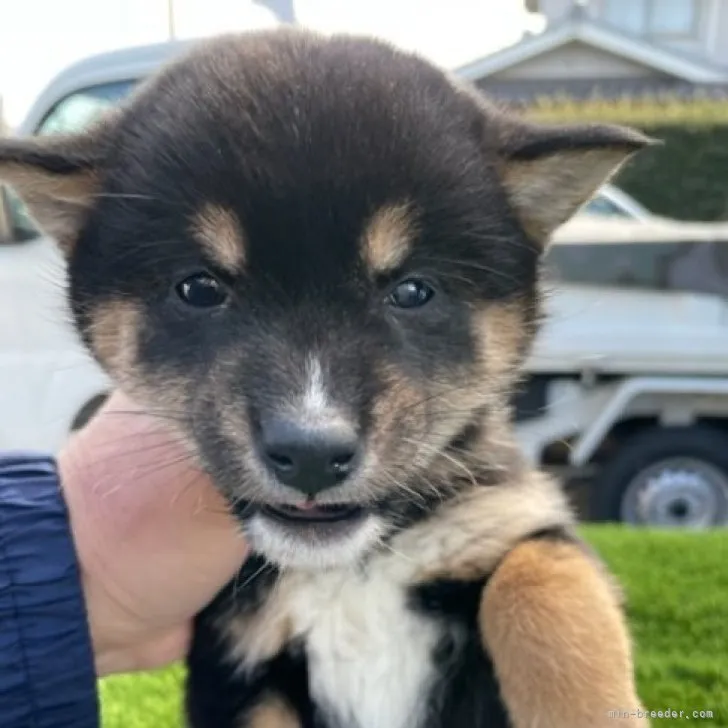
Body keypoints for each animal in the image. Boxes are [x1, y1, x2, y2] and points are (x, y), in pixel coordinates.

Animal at [0, 28, 648, 728]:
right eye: (199, 289)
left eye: (412, 291)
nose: (311, 453)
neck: (347, 570)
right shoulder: (236, 670)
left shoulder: (510, 517)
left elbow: (544, 589)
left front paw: (594, 710)